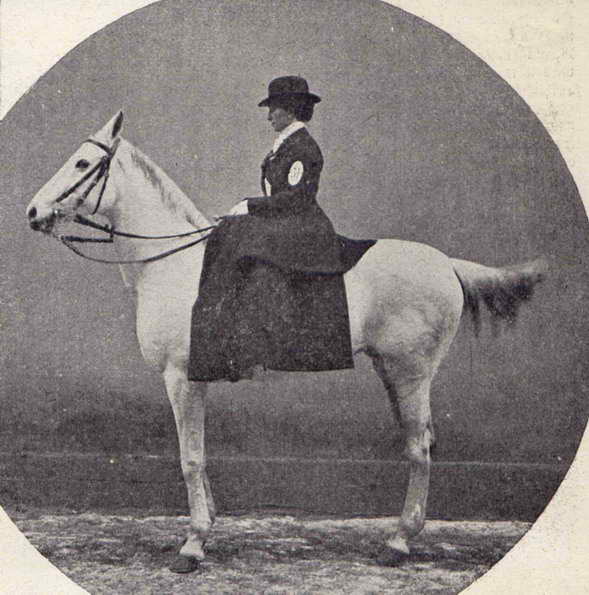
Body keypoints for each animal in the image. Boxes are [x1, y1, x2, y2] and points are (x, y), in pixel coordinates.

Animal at [26, 112, 545, 573]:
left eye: (81, 163)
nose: (33, 212)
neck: (173, 264)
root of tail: (447, 265)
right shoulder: (195, 380)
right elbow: (200, 457)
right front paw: (206, 527)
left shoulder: (179, 377)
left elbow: (189, 458)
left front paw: (192, 546)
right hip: (393, 373)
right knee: (421, 442)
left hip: (410, 373)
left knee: (419, 450)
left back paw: (397, 544)